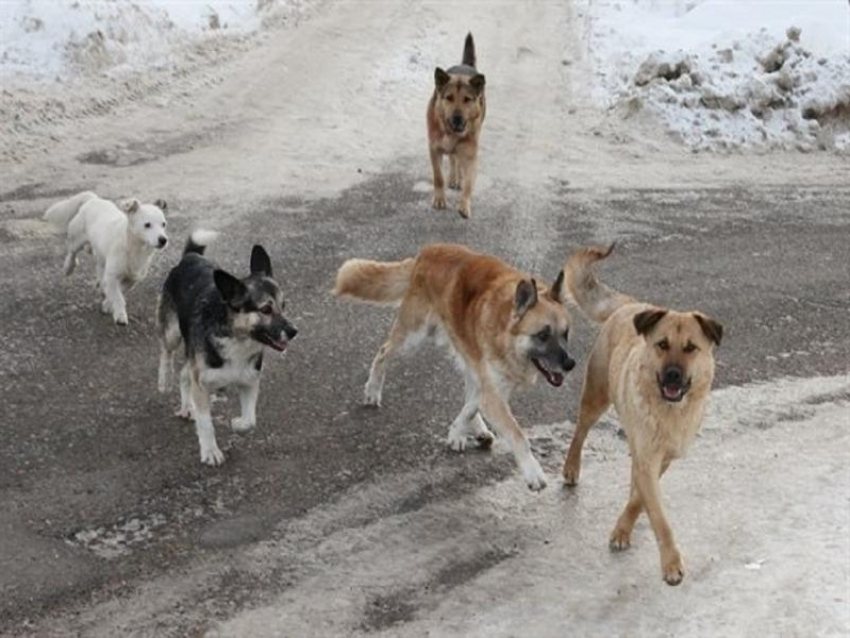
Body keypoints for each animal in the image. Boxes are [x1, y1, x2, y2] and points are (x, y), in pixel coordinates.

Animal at [43, 192, 169, 324]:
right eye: (147, 225)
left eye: (163, 224)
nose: (163, 240)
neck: (135, 248)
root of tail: (93, 199)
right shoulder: (112, 275)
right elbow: (118, 296)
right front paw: (120, 315)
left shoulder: (132, 279)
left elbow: (119, 291)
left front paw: (107, 304)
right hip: (77, 239)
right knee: (72, 252)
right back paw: (69, 267)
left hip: (101, 254)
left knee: (99, 267)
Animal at [157, 232, 296, 468]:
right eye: (265, 310)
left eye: (283, 305)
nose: (294, 331)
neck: (237, 339)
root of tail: (190, 258)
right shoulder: (202, 384)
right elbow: (206, 424)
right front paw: (210, 451)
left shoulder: (249, 381)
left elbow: (250, 421)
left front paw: (237, 424)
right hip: (173, 332)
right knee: (166, 353)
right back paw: (164, 380)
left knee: (184, 375)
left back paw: (187, 406)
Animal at [334, 244, 572, 490]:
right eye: (543, 335)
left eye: (565, 334)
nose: (570, 364)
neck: (506, 331)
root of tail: (429, 250)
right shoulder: (493, 392)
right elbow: (518, 434)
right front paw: (533, 472)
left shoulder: (492, 386)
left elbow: (471, 406)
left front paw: (457, 431)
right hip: (413, 336)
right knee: (382, 353)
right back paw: (372, 389)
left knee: (470, 391)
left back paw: (478, 429)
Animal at [424, 34, 484, 220]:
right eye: (449, 97)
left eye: (467, 99)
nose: (457, 118)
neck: (451, 132)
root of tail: (464, 65)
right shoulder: (434, 149)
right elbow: (438, 177)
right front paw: (439, 199)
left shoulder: (470, 154)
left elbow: (469, 183)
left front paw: (465, 205)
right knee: (452, 159)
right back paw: (453, 178)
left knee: (456, 159)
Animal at [564, 248, 724, 588]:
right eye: (662, 345)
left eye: (691, 348)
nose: (673, 375)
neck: (669, 411)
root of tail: (630, 305)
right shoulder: (648, 457)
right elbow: (660, 519)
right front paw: (671, 564)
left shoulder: (663, 458)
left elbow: (640, 498)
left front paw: (626, 525)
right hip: (596, 396)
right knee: (580, 431)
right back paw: (571, 467)